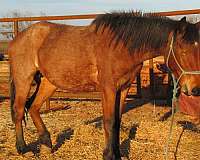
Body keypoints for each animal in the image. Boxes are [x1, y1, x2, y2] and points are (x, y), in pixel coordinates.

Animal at [8, 11, 200, 159]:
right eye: (183, 51)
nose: (195, 89)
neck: (121, 46)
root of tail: (19, 37)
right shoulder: (108, 89)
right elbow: (109, 121)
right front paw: (108, 155)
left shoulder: (123, 88)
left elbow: (117, 121)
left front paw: (118, 154)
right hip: (24, 79)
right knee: (19, 110)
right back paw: (23, 149)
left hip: (49, 82)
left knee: (33, 107)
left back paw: (47, 144)